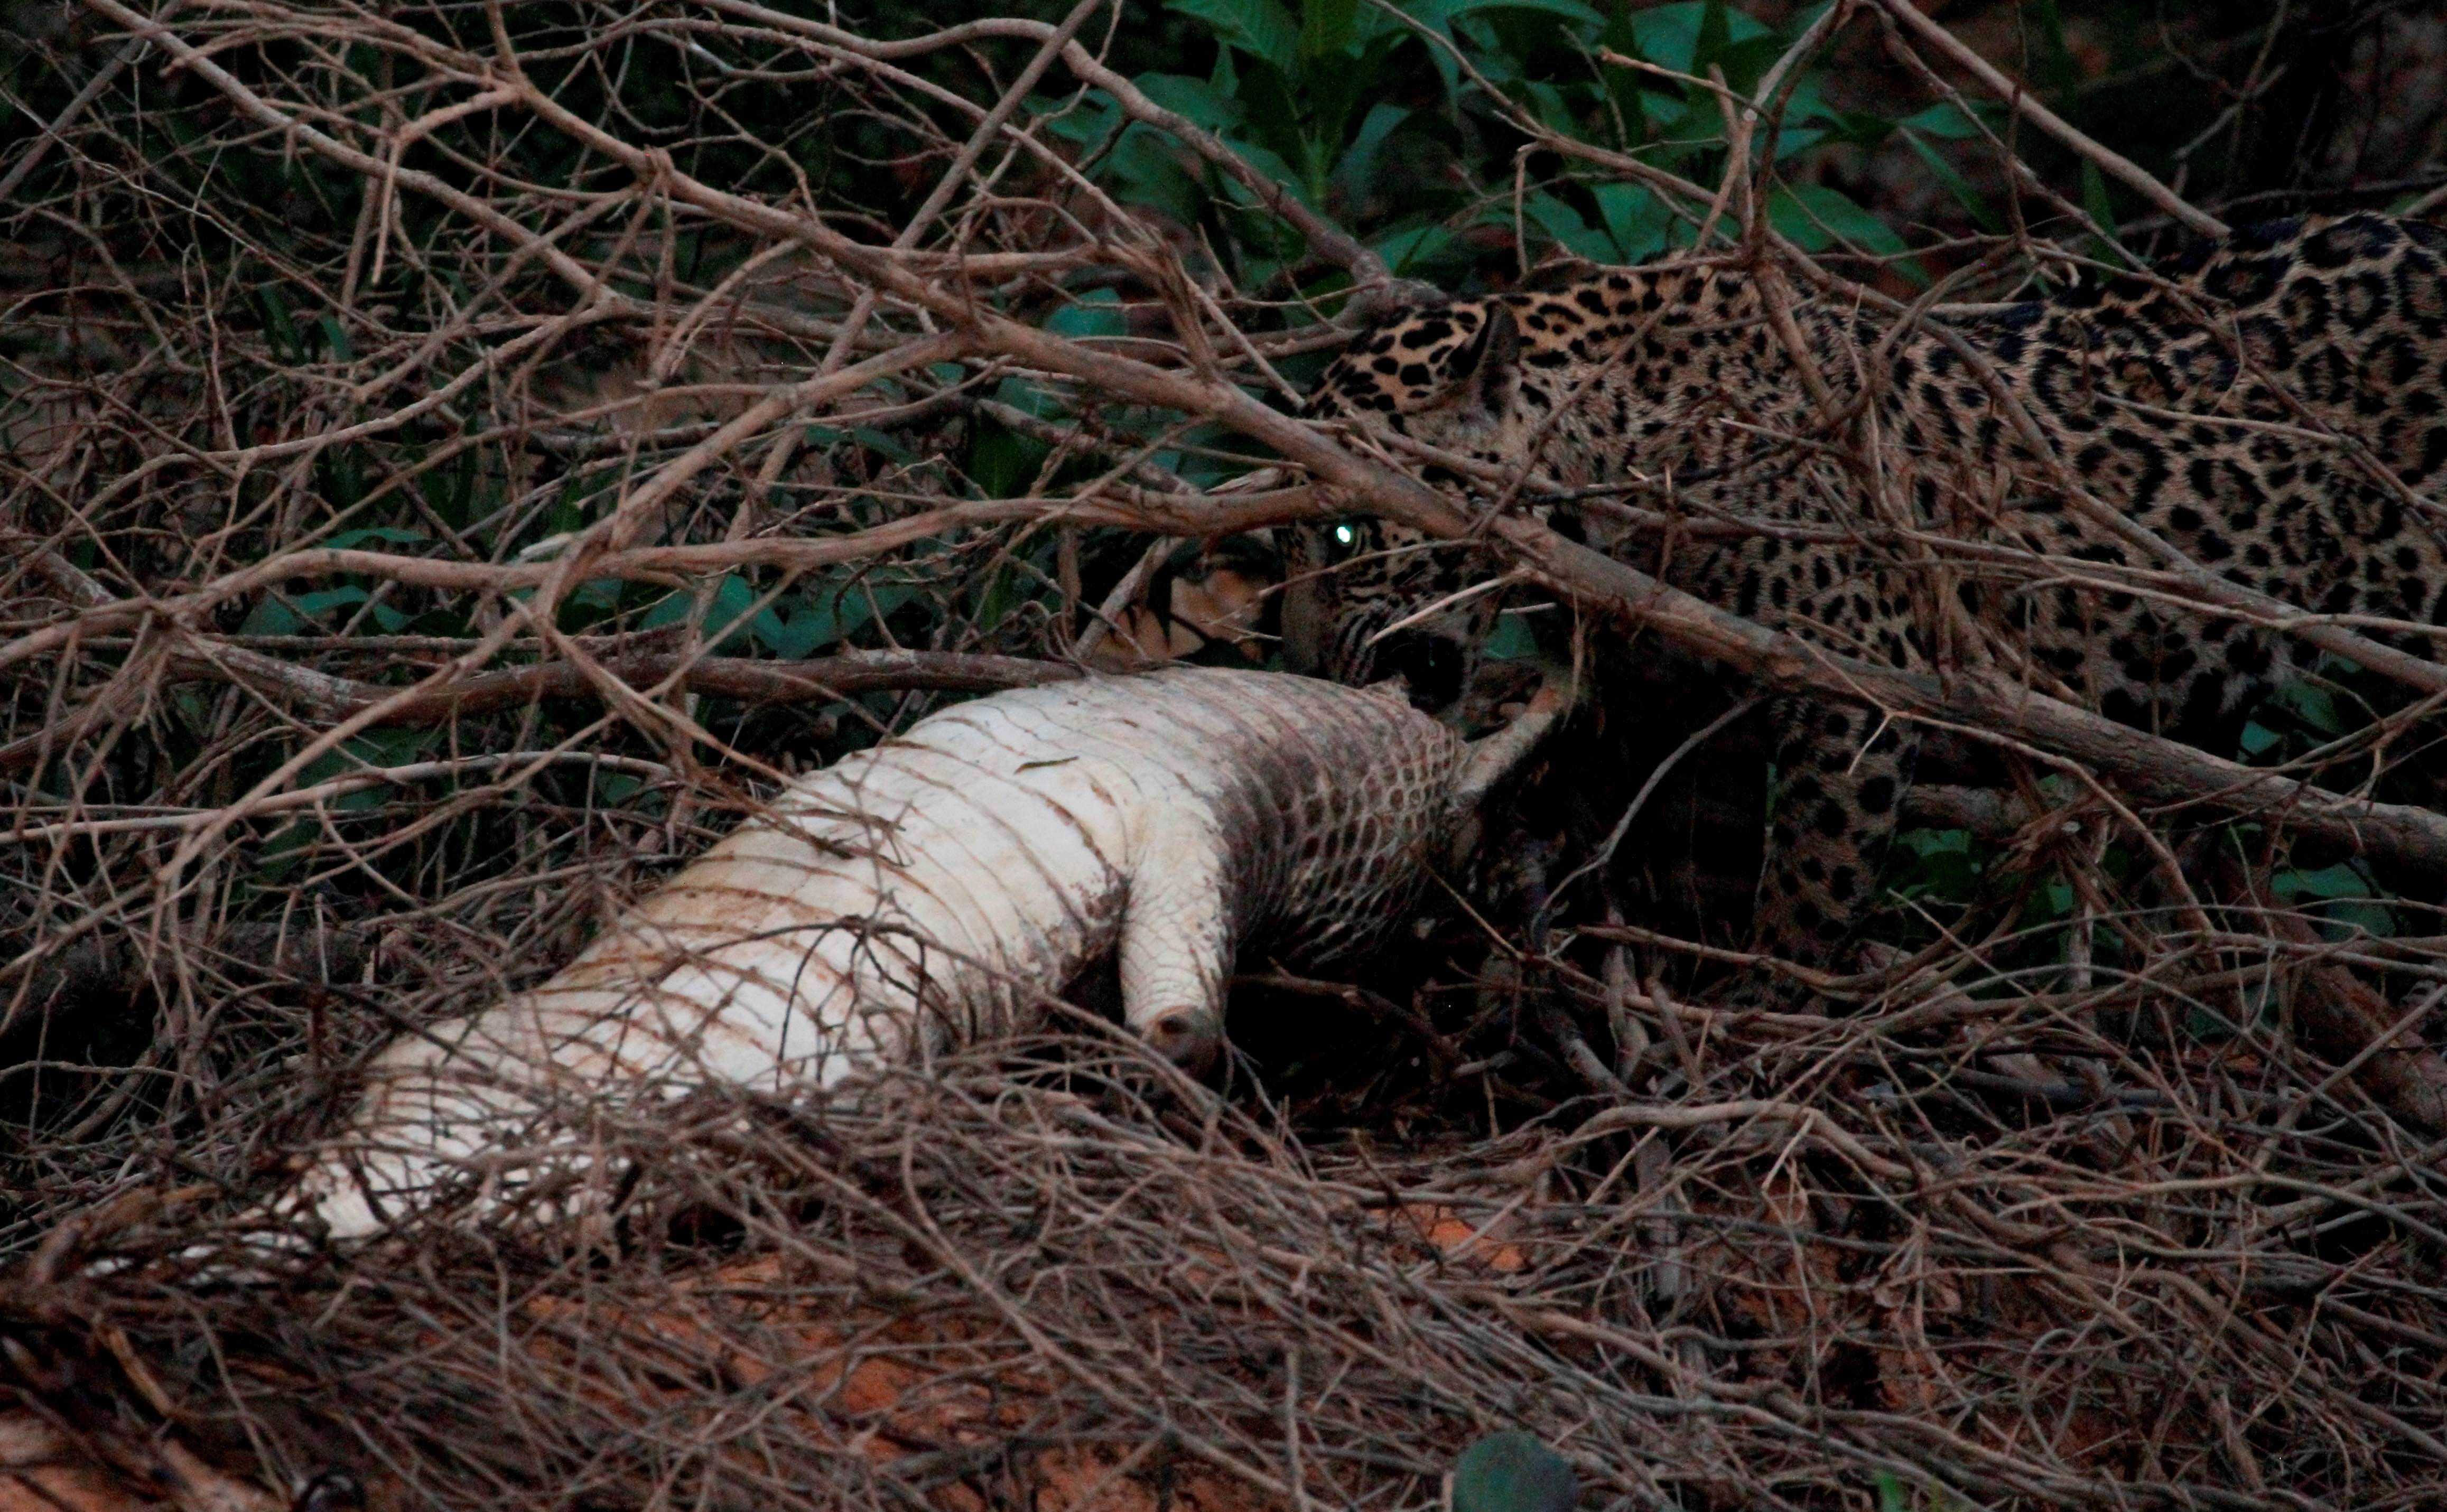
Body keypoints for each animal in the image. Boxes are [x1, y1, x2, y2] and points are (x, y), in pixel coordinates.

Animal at [1285, 211, 2447, 979]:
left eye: (1344, 530)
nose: (1301, 659)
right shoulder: (1684, 700)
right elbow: (1694, 862)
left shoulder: (1852, 696)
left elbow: (1805, 889)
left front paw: (1772, 1028)